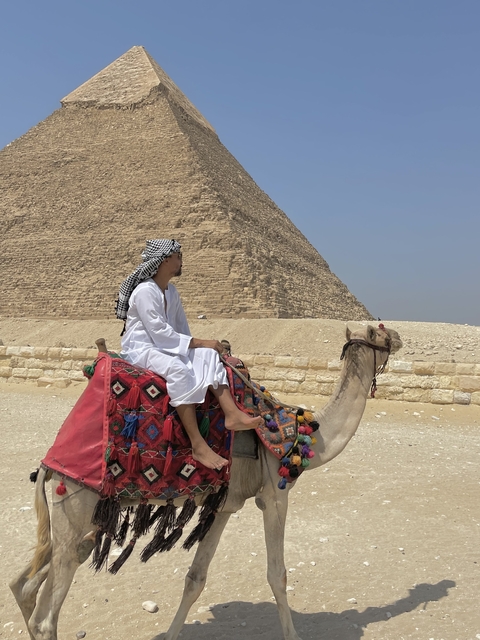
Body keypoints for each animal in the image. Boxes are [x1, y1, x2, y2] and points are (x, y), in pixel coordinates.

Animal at [10, 323, 402, 640]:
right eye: (379, 332)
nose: (399, 337)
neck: (303, 434)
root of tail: (49, 464)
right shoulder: (274, 495)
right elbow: (278, 575)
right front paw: (293, 635)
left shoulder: (224, 505)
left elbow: (195, 578)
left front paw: (171, 635)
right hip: (76, 502)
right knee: (45, 615)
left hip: (76, 518)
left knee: (26, 584)